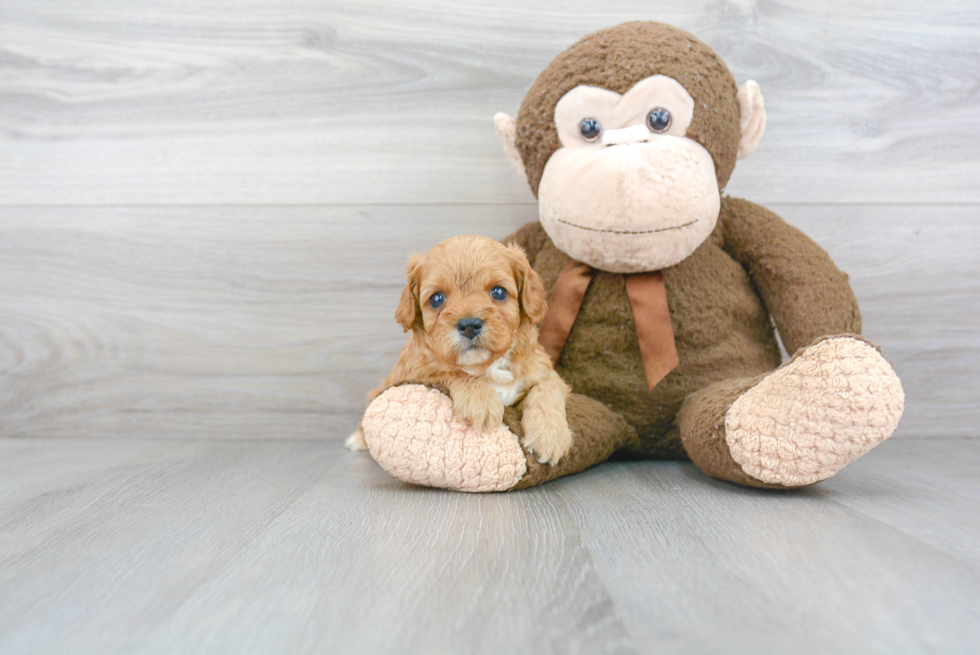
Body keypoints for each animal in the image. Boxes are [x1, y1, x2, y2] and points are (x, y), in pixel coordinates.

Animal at [346, 236, 572, 466]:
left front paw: (550, 437)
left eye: (499, 292)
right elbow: (450, 371)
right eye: (436, 298)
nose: (469, 325)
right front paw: (481, 402)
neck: (486, 365)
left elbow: (547, 390)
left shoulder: (544, 370)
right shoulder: (416, 372)